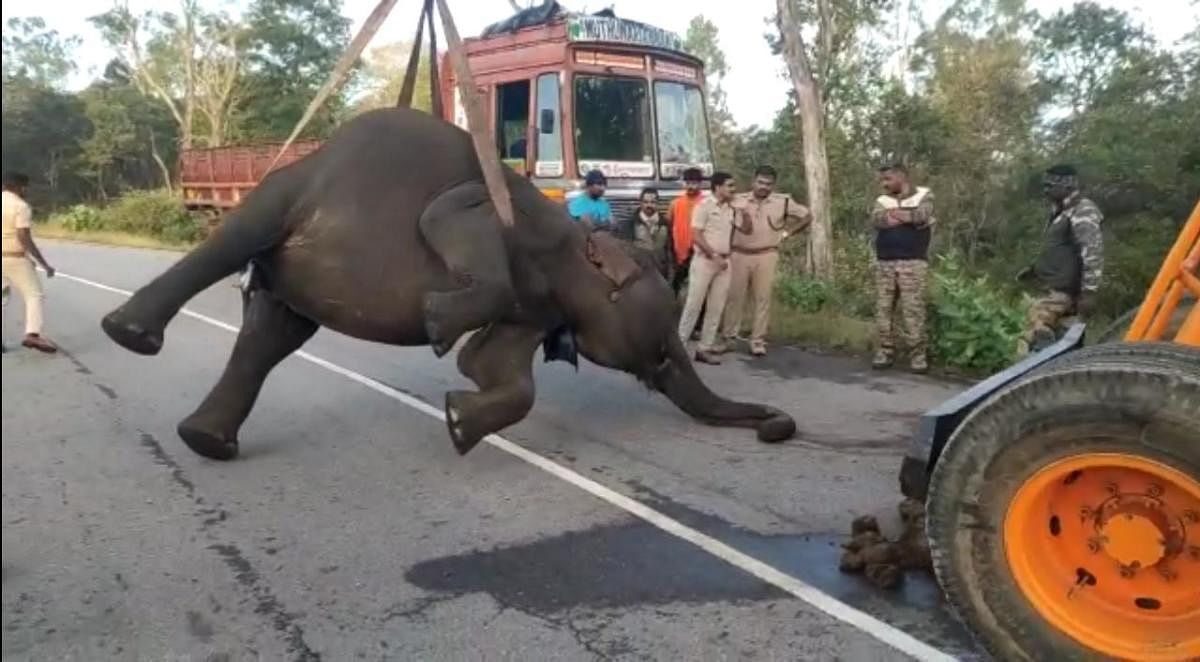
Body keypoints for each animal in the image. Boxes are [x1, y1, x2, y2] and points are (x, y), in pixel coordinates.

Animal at [100, 107, 796, 460]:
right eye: (660, 349)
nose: (777, 428)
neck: (580, 241)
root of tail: (314, 152)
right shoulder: (501, 226)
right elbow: (449, 218)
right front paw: (437, 327)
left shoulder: (538, 308)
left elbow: (495, 369)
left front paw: (458, 420)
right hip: (286, 194)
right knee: (233, 243)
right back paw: (129, 335)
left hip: (293, 258)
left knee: (269, 333)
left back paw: (205, 441)